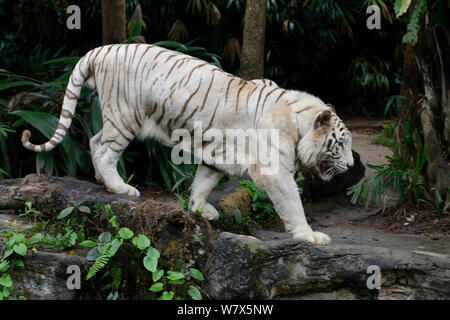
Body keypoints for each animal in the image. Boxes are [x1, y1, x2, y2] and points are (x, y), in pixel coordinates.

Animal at [21, 43, 354, 245]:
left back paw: (102, 181)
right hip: (127, 116)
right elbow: (293, 203)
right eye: (340, 144)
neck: (298, 123)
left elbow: (203, 183)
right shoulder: (273, 171)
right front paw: (310, 236)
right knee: (105, 151)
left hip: (117, 119)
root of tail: (103, 48)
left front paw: (199, 210)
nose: (352, 165)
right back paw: (120, 188)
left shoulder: (216, 153)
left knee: (94, 139)